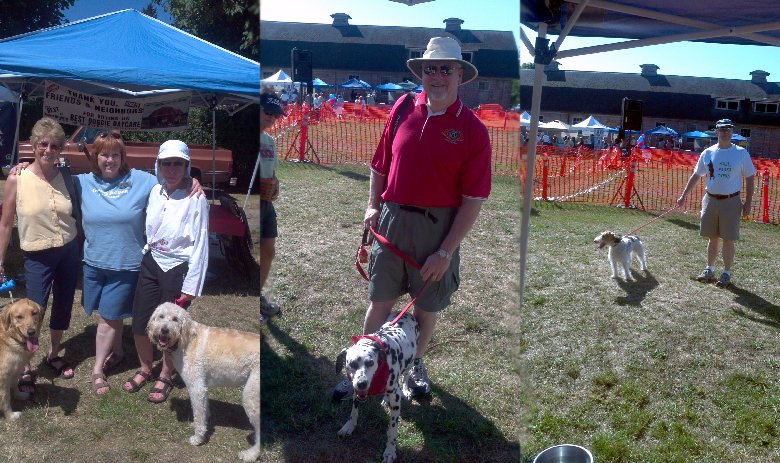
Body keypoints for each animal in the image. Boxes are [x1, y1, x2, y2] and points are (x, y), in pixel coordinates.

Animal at [148, 302, 264, 462]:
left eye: (175, 319)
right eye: (161, 316)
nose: (164, 330)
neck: (186, 339)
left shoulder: (196, 387)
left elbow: (198, 413)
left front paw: (198, 438)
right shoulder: (202, 387)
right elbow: (203, 410)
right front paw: (203, 423)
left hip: (250, 396)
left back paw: (250, 454)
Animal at [336, 312, 420, 463]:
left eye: (370, 362)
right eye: (351, 364)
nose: (362, 383)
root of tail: (407, 313)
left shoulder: (396, 398)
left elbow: (392, 429)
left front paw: (390, 450)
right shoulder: (357, 393)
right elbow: (353, 413)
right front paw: (349, 427)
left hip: (410, 362)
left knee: (407, 374)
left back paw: (406, 389)